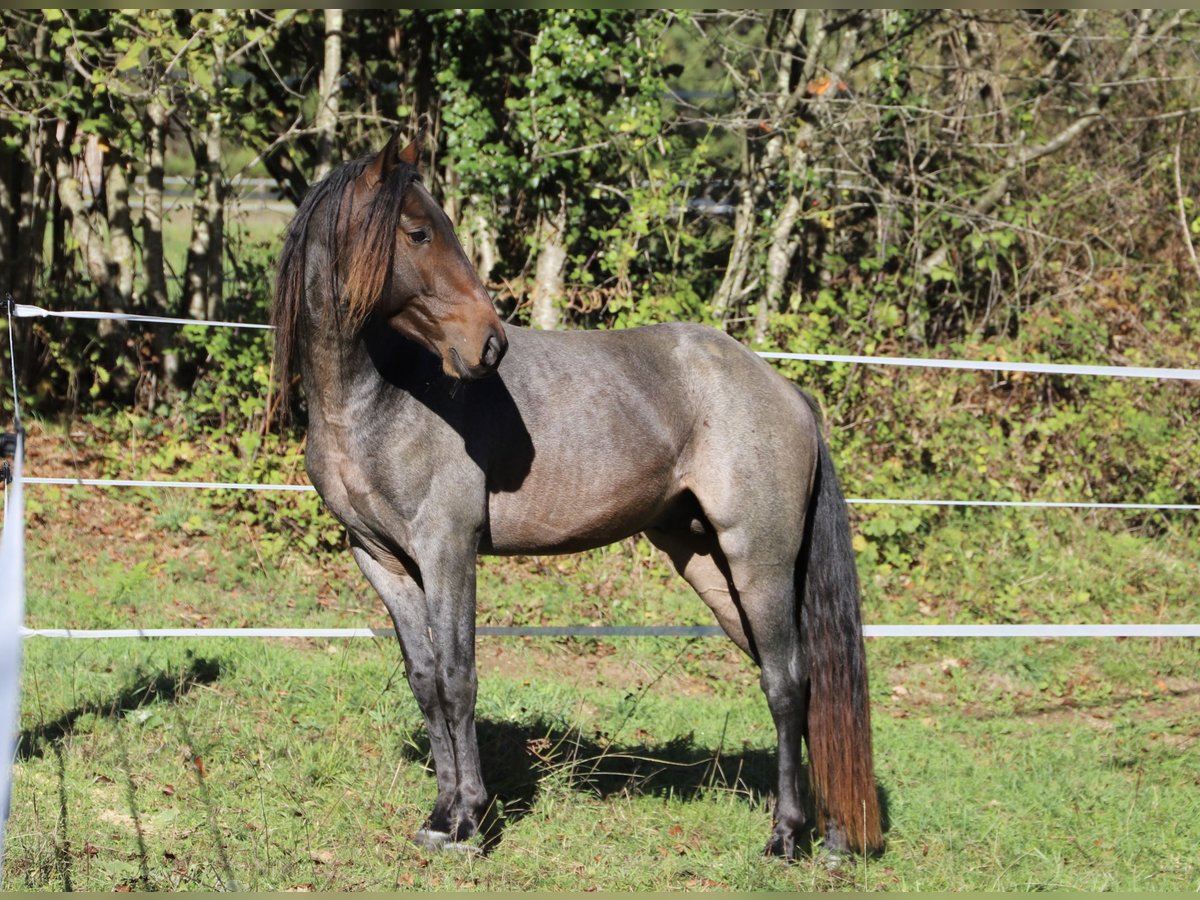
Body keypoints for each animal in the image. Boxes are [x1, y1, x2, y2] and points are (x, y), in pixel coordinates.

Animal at [276, 132, 888, 859]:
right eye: (419, 232)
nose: (489, 344)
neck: (384, 399)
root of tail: (787, 390)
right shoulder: (382, 561)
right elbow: (425, 682)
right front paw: (439, 817)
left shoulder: (447, 551)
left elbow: (458, 678)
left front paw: (470, 823)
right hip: (707, 564)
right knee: (805, 685)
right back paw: (830, 836)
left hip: (757, 562)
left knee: (787, 682)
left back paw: (786, 838)